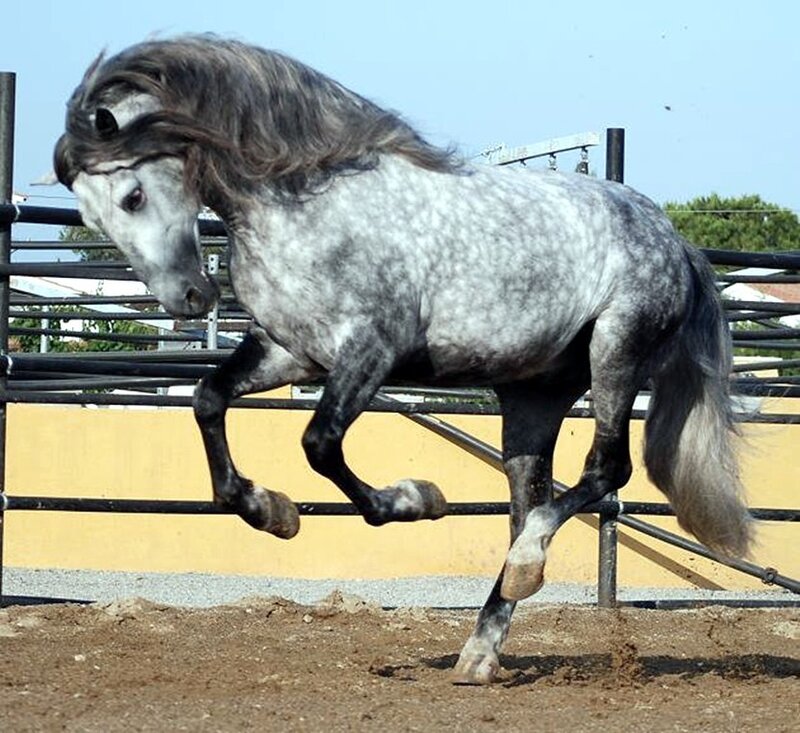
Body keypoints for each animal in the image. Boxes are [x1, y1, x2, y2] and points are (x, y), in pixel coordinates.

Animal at [54, 35, 751, 685]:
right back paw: (482, 646)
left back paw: (521, 571)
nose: (188, 298)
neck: (302, 207)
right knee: (527, 504)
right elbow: (208, 401)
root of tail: (676, 240)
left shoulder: (370, 351)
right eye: (90, 213)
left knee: (606, 471)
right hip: (532, 394)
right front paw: (270, 512)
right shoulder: (291, 352)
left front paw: (415, 499)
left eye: (133, 196)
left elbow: (320, 446)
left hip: (615, 352)